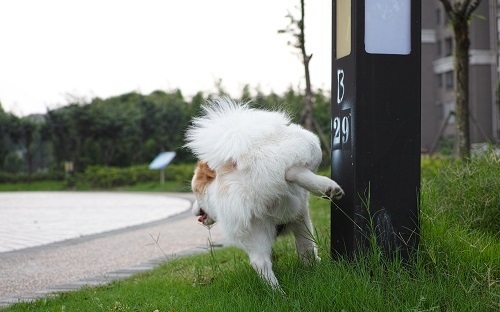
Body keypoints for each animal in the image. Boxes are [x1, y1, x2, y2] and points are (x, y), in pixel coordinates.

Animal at [184, 97, 344, 292]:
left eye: (195, 192)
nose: (194, 209)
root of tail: (238, 161)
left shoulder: (295, 219)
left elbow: (305, 247)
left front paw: (311, 268)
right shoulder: (300, 216)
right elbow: (306, 246)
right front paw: (313, 266)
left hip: (254, 227)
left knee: (260, 263)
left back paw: (277, 293)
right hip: (308, 144)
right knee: (291, 171)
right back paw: (326, 187)